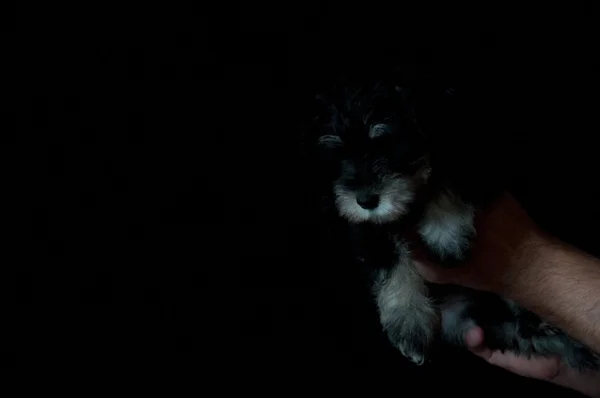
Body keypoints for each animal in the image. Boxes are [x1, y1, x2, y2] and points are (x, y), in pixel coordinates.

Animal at [312, 78, 596, 370]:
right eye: (337, 156)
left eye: (391, 144)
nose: (366, 200)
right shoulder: (367, 227)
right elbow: (390, 265)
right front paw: (409, 321)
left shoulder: (476, 159)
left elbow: (446, 179)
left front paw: (446, 233)